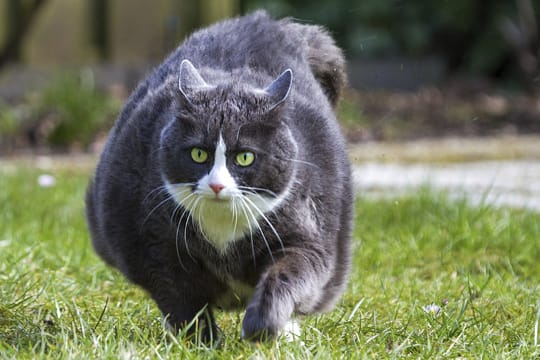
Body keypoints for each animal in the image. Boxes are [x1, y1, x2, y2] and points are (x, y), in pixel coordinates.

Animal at [86, 10, 352, 344]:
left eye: (245, 157)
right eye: (199, 154)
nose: (216, 184)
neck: (224, 231)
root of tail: (269, 24)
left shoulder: (306, 236)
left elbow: (291, 272)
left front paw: (261, 326)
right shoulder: (153, 247)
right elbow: (180, 299)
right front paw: (201, 342)